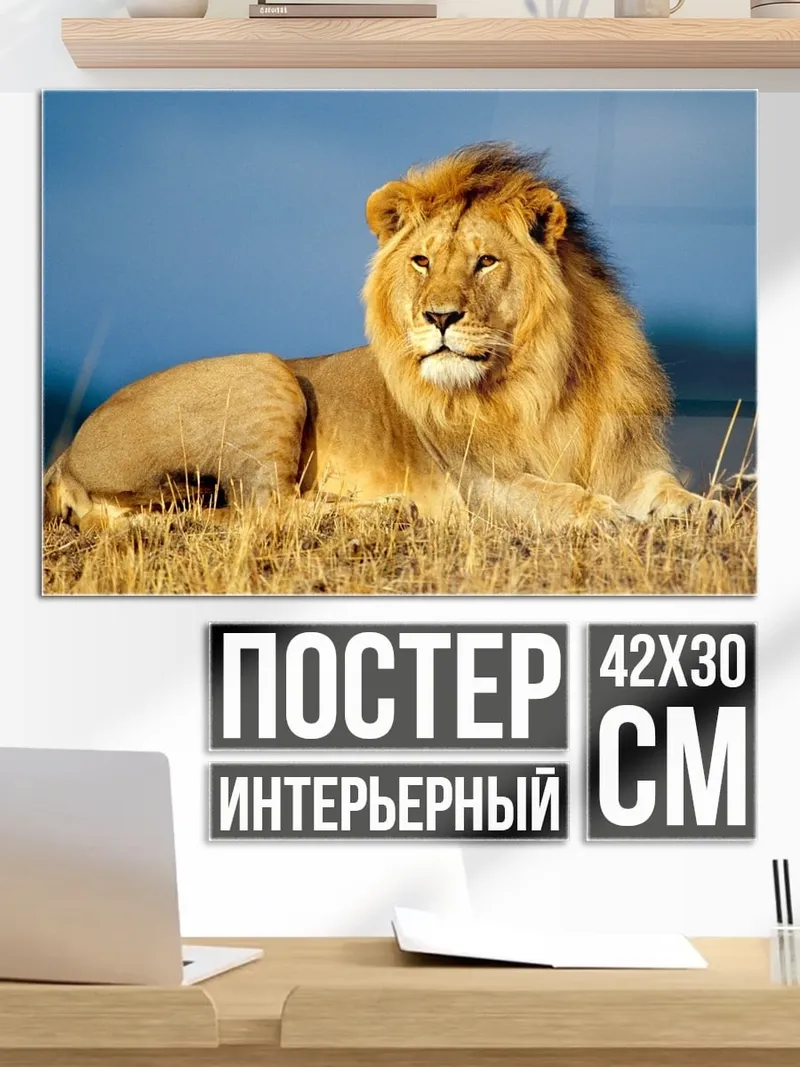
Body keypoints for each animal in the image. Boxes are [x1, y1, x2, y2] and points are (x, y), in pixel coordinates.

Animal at [44, 142, 723, 534]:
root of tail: (65, 457)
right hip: (266, 372)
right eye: (422, 261)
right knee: (261, 509)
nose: (439, 317)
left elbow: (664, 488)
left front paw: (704, 507)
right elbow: (557, 498)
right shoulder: (481, 485)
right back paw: (390, 509)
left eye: (485, 262)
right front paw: (604, 514)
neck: (542, 380)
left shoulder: (625, 457)